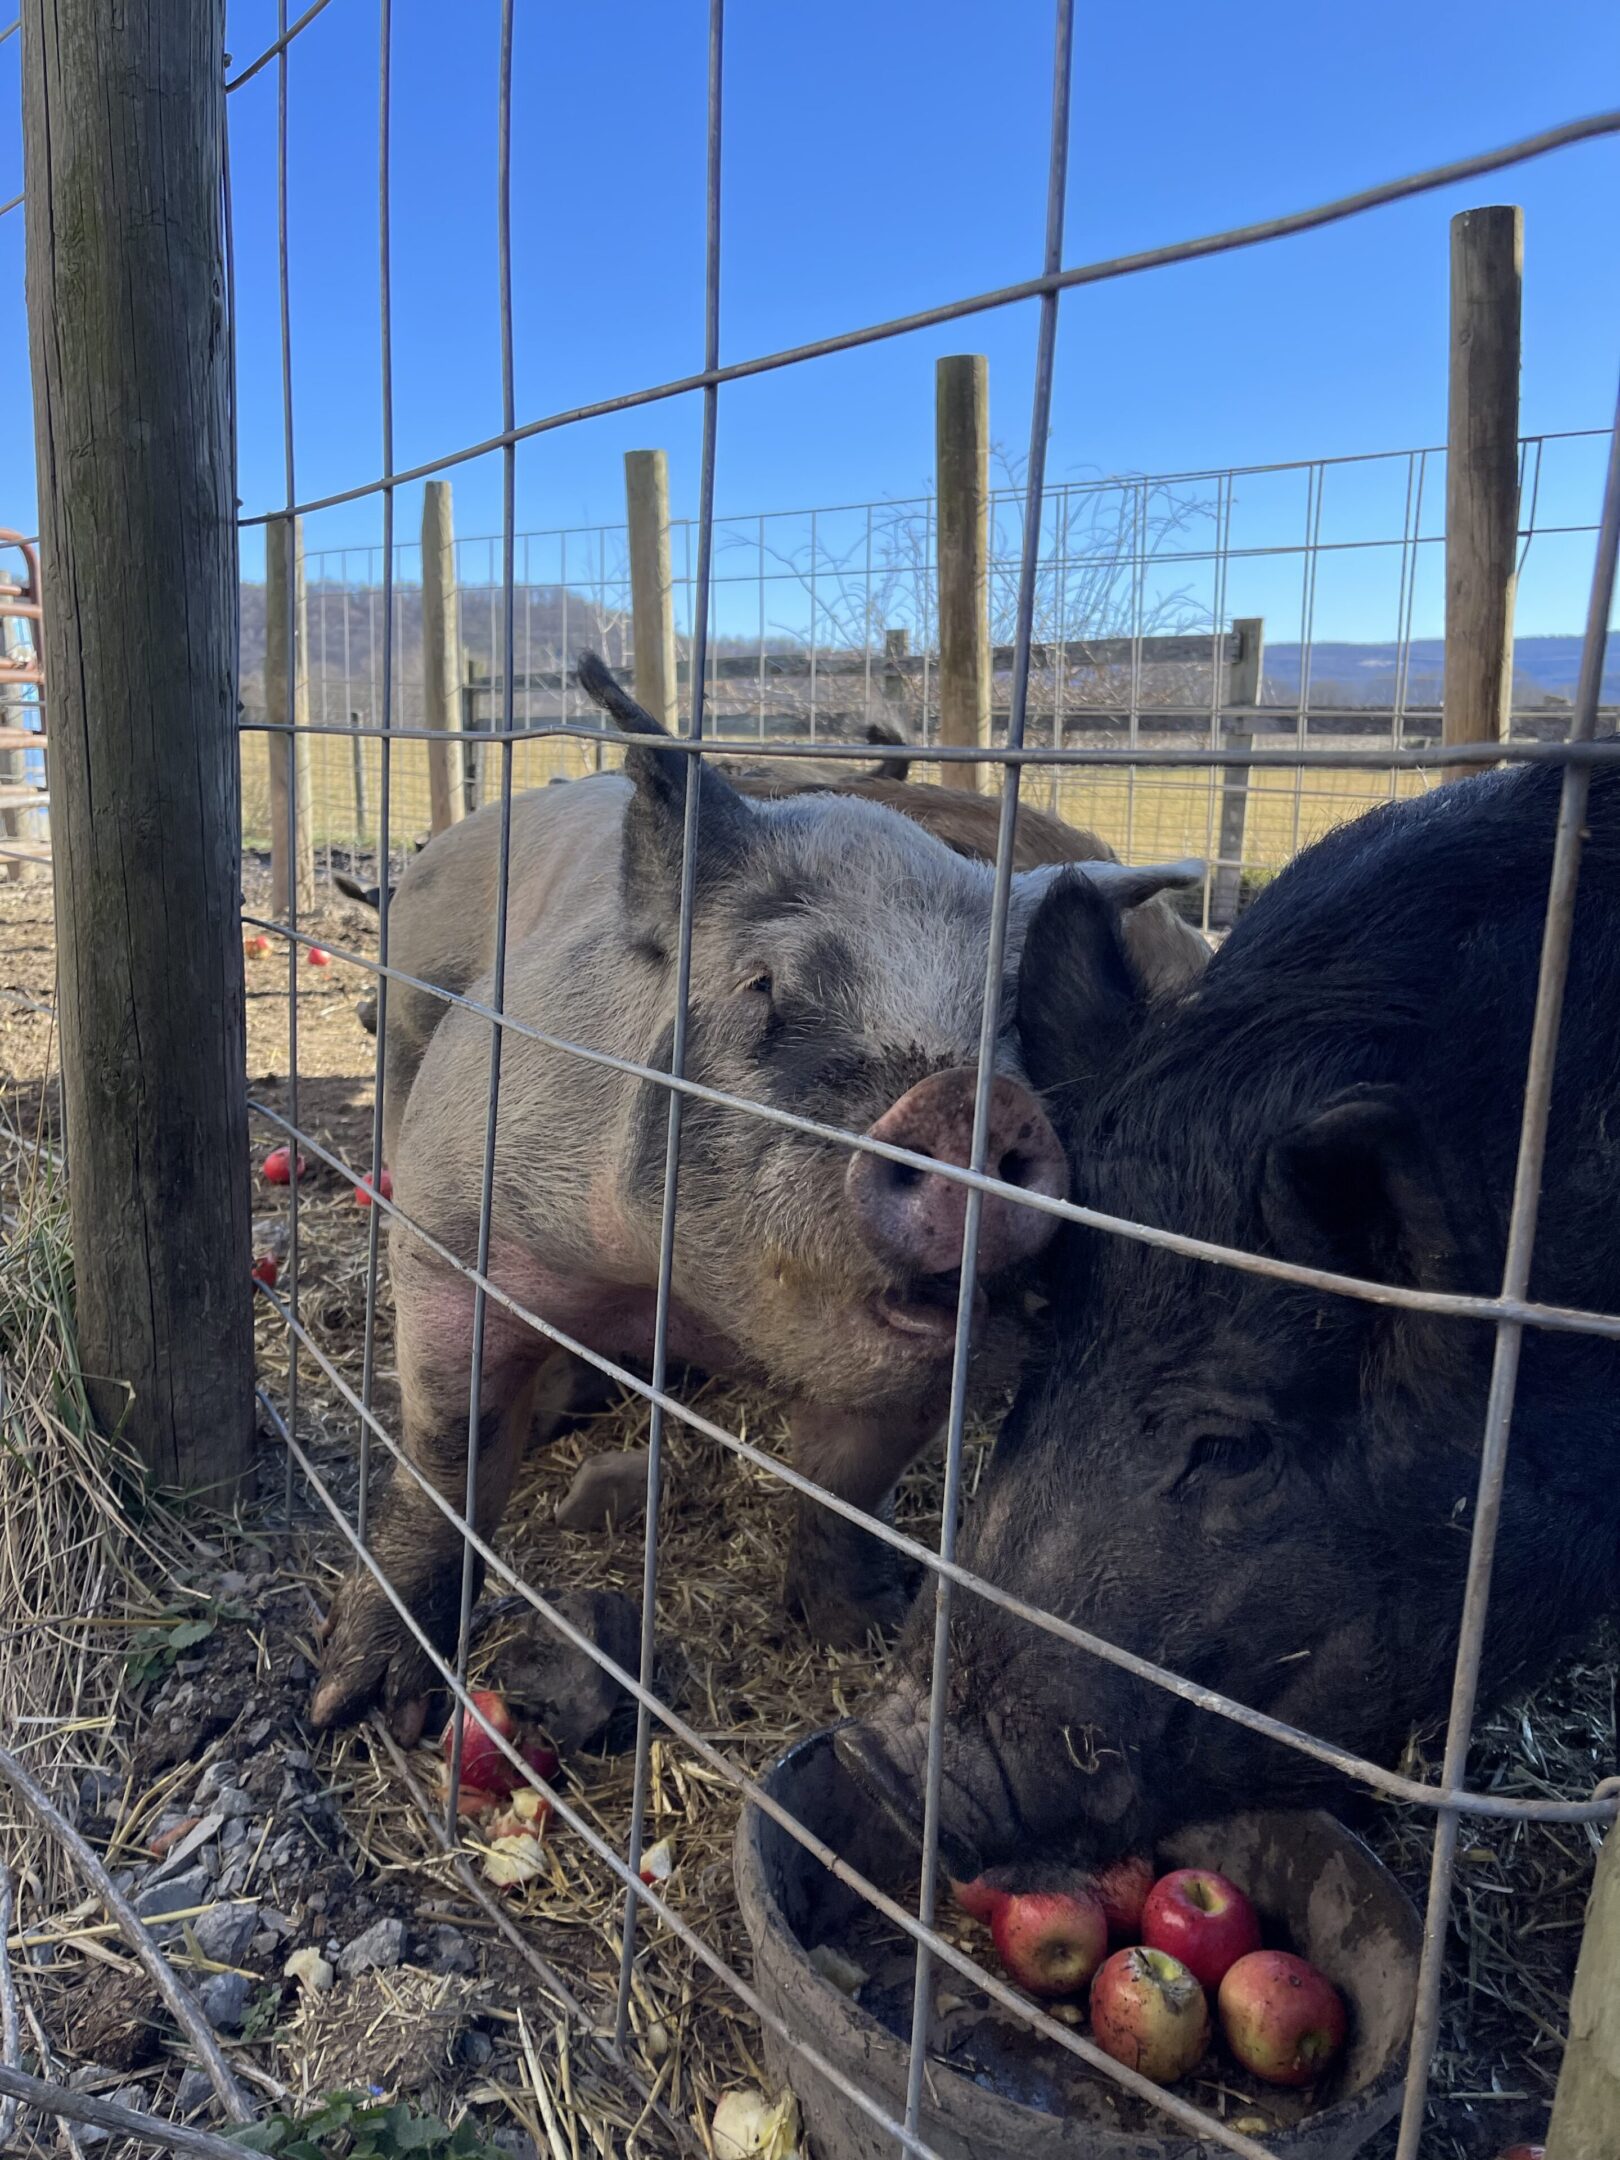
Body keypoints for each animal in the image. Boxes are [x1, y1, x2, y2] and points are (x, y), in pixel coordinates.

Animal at [311, 654, 1204, 1737]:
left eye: (1013, 1024)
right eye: (762, 986)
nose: (967, 1103)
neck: (685, 1301)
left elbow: (845, 1486)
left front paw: (862, 1627)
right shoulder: (451, 1223)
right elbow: (449, 1454)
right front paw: (360, 1708)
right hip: (405, 1037)